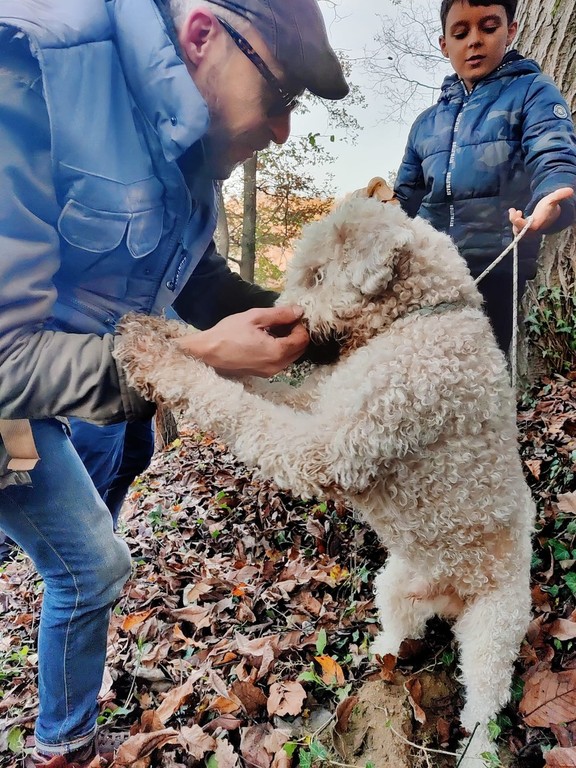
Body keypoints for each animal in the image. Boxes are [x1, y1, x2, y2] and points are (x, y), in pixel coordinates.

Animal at [116, 196, 536, 760]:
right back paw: (381, 653)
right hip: (396, 584)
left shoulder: (323, 449)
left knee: (484, 705)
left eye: (317, 275)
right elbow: (242, 382)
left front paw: (157, 360)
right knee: (401, 627)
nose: (281, 321)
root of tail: (450, 594)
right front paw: (163, 333)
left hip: (496, 629)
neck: (419, 319)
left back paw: (477, 748)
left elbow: (234, 406)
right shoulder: (313, 403)